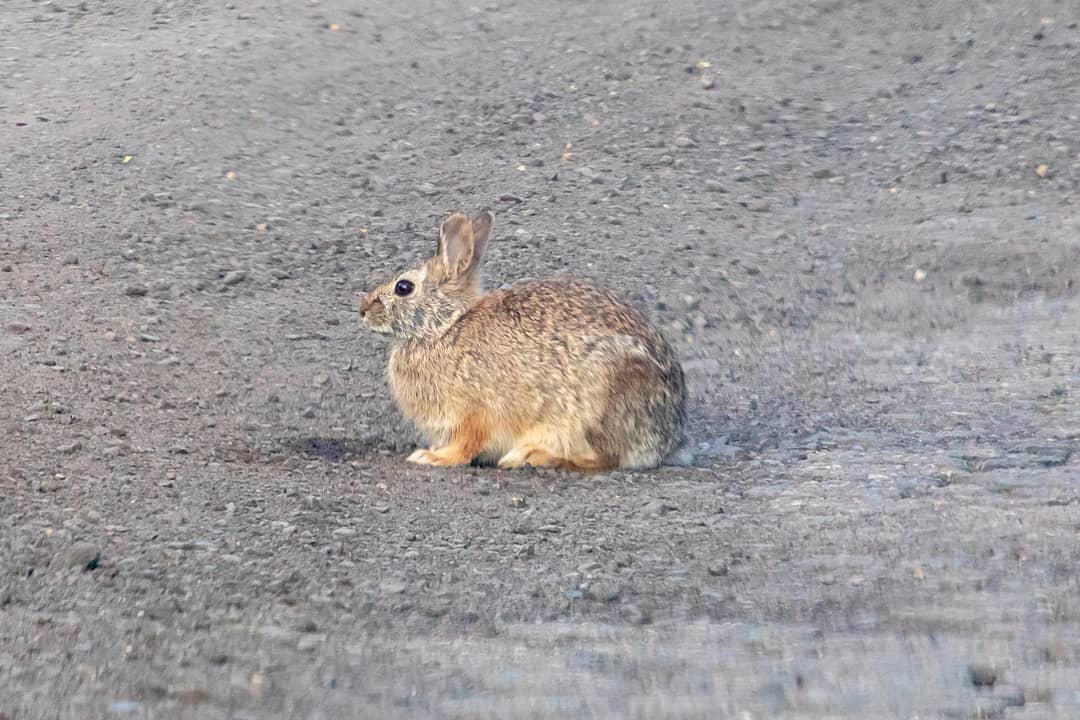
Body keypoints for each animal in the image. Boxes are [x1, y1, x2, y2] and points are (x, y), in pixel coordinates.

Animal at [359, 209, 686, 471]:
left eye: (403, 287)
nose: (362, 310)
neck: (445, 327)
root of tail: (669, 435)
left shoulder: (475, 413)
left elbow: (465, 447)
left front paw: (432, 457)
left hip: (598, 404)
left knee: (603, 459)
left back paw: (532, 456)